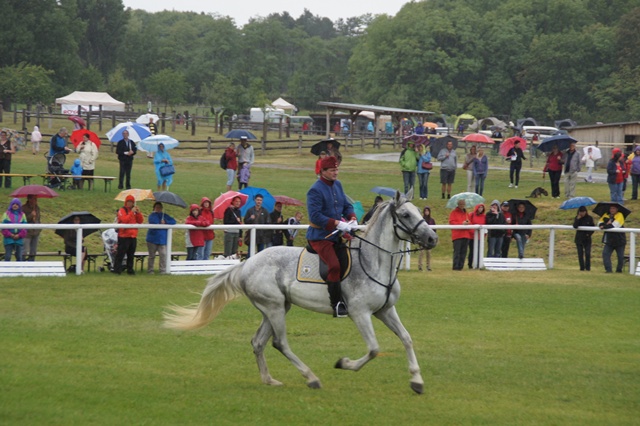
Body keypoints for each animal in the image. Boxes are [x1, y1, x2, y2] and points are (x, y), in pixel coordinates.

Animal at [162, 191, 438, 394]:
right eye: (405, 214)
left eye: (417, 211)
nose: (432, 238)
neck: (374, 262)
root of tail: (246, 264)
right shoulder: (360, 313)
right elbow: (373, 349)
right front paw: (344, 363)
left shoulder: (385, 310)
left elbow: (406, 339)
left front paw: (417, 381)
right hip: (274, 308)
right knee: (280, 342)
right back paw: (311, 378)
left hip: (275, 307)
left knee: (258, 342)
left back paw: (269, 380)